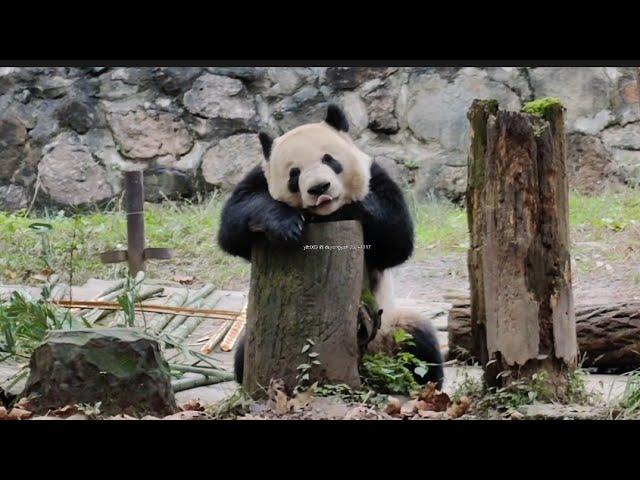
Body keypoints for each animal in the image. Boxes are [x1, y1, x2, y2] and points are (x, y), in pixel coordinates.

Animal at [218, 103, 442, 388]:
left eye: (329, 160)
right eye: (294, 174)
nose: (319, 188)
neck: (324, 214)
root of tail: (370, 359)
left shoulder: (375, 175)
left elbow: (396, 238)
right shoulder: (259, 178)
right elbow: (234, 222)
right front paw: (286, 224)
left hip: (391, 326)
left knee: (420, 342)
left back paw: (421, 380)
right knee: (243, 354)